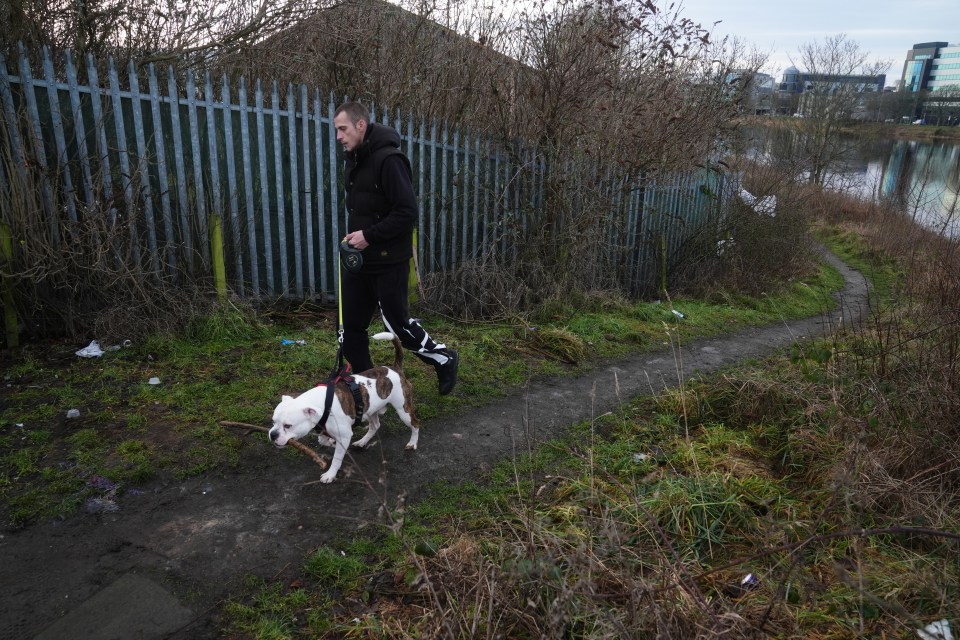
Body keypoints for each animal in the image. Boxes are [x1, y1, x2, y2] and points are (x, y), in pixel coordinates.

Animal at [270, 332, 420, 482]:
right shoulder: (325, 429)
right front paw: (331, 442)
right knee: (375, 426)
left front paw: (331, 474)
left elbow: (336, 459)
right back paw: (362, 441)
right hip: (370, 410)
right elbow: (322, 440)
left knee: (415, 424)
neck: (323, 404)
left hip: (403, 410)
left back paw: (412, 443)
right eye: (273, 422)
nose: (272, 434)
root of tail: (396, 369)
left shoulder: (345, 435)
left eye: (288, 426)